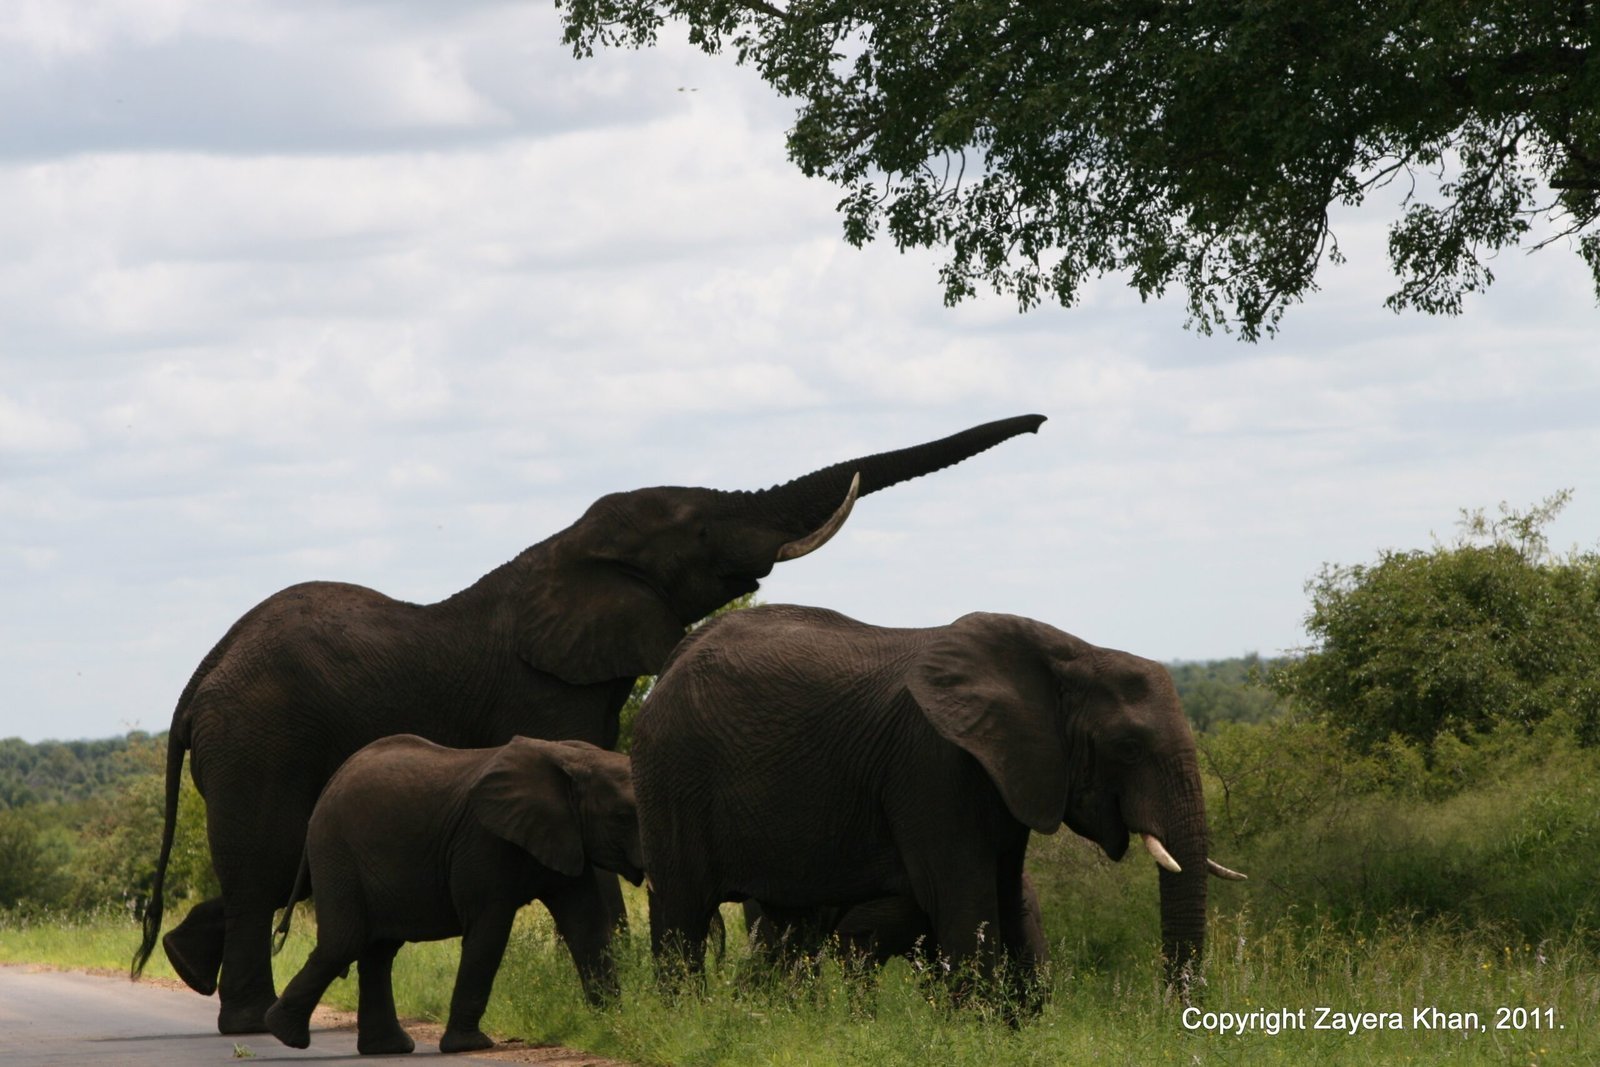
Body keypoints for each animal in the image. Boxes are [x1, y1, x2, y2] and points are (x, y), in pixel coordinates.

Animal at [264, 735, 642, 1055]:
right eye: (624, 817)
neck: (570, 757)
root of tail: (331, 783)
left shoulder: (567, 838)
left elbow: (588, 928)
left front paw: (614, 1030)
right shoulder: (482, 842)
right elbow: (489, 932)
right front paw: (470, 1046)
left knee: (378, 950)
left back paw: (387, 1048)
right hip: (337, 851)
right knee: (345, 942)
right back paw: (284, 1034)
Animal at [633, 604, 1245, 1005]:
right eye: (1128, 747)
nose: (1173, 1013)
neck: (1070, 655)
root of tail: (669, 662)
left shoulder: (1005, 769)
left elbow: (1004, 898)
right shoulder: (933, 766)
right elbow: (965, 902)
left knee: (786, 928)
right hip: (671, 774)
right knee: (683, 915)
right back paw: (688, 1023)